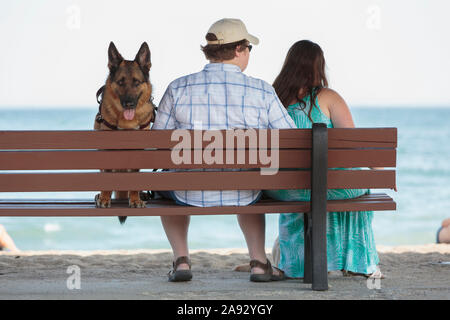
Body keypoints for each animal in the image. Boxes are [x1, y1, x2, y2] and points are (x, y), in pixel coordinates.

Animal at [94, 41, 156, 224]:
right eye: (121, 82)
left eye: (136, 82)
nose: (129, 103)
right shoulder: (107, 151)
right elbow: (107, 178)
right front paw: (104, 198)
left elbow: (133, 179)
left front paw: (135, 199)